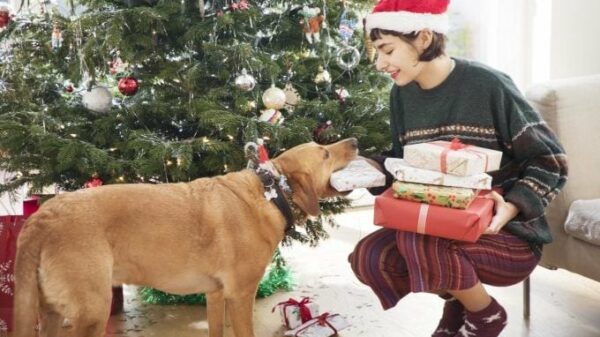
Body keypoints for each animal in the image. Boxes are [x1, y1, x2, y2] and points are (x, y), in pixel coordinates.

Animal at [14, 137, 358, 336]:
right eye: (325, 154)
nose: (355, 140)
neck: (271, 192)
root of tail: (40, 219)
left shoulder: (215, 294)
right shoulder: (240, 295)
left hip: (50, 313)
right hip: (91, 314)